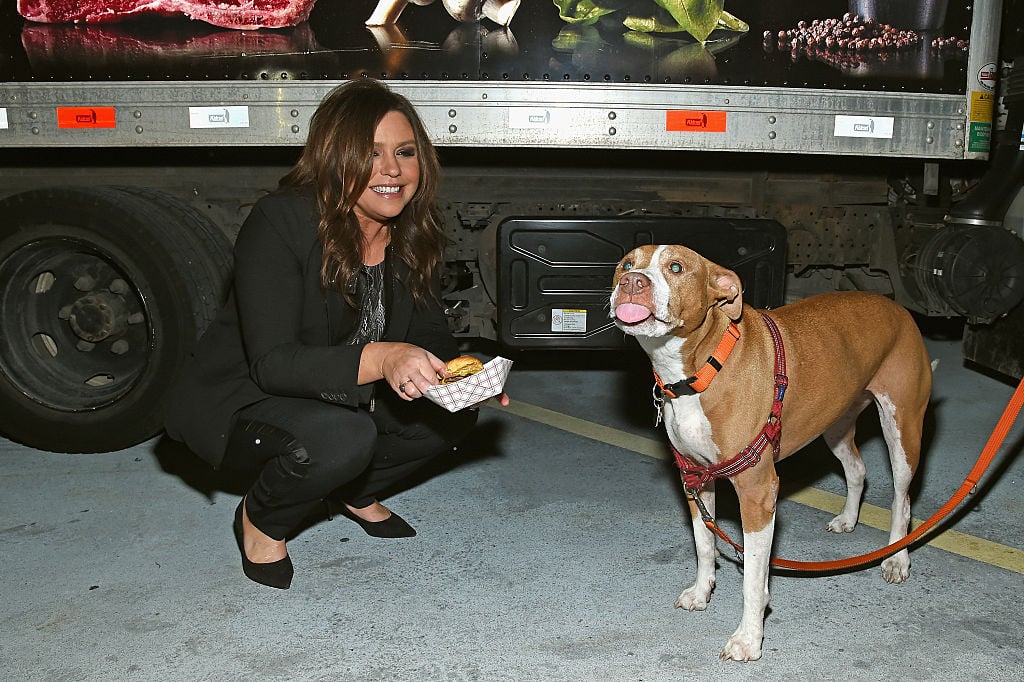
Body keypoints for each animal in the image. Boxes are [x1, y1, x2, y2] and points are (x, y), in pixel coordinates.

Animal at [606, 244, 937, 659]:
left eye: (676, 267)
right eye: (626, 265)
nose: (632, 283)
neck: (702, 371)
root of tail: (899, 309)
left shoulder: (757, 493)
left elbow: (753, 580)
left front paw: (748, 638)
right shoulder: (695, 478)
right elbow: (703, 543)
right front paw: (701, 591)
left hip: (903, 429)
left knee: (902, 499)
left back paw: (896, 557)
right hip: (834, 423)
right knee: (857, 469)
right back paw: (848, 518)